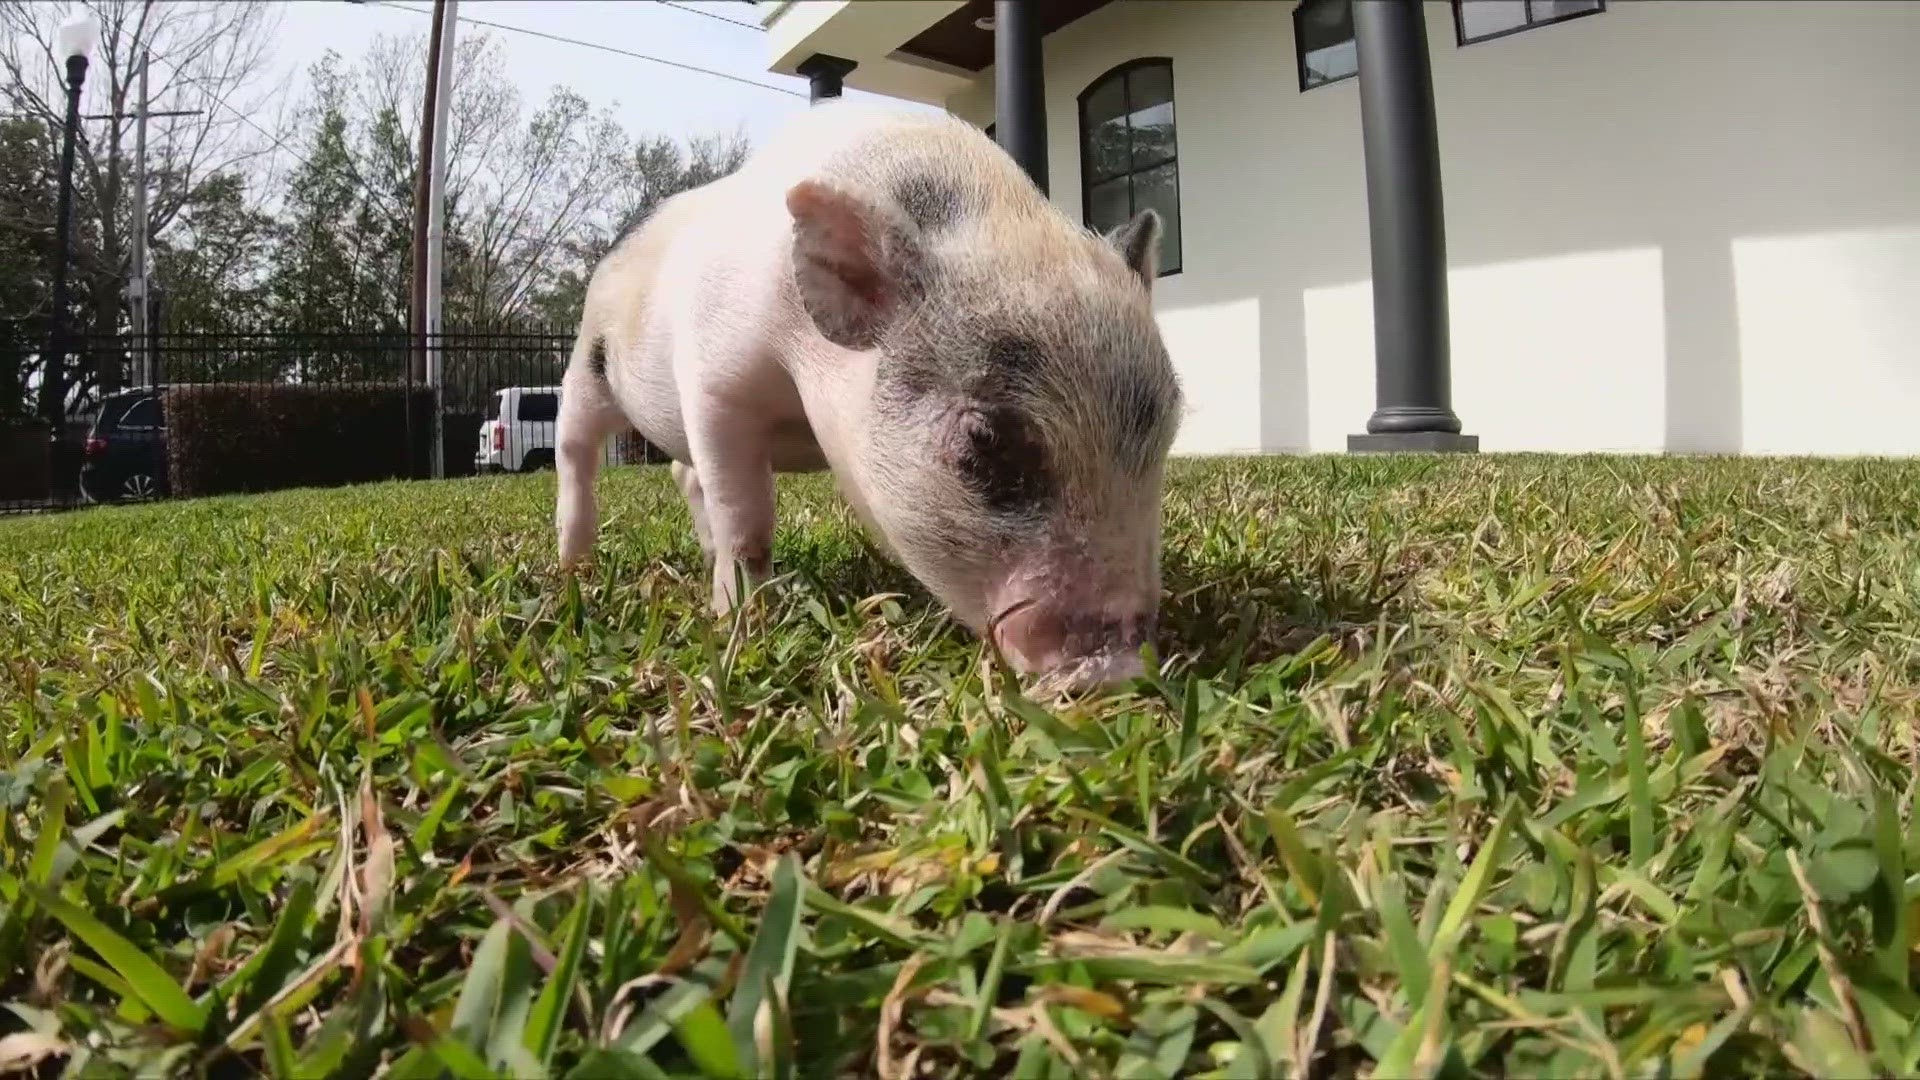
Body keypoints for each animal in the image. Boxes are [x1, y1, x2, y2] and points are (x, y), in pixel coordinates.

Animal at [554, 100, 1184, 691]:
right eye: (984, 441)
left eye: (1168, 431)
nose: (1120, 669)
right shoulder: (714, 385)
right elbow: (747, 522)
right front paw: (739, 621)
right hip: (588, 364)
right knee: (576, 451)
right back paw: (573, 568)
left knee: (683, 474)